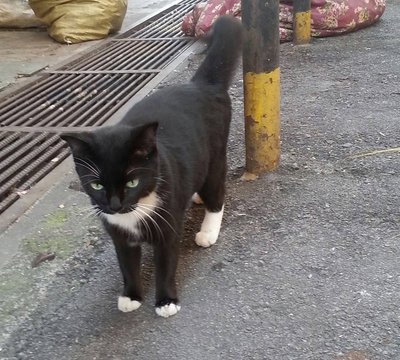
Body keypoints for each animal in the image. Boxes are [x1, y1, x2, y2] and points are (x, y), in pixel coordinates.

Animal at [61, 15, 242, 316]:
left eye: (132, 181)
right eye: (96, 184)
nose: (114, 205)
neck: (135, 211)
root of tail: (200, 85)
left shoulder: (168, 226)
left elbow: (166, 265)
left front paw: (166, 301)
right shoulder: (119, 235)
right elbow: (127, 266)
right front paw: (131, 296)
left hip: (216, 155)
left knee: (217, 192)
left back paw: (208, 230)